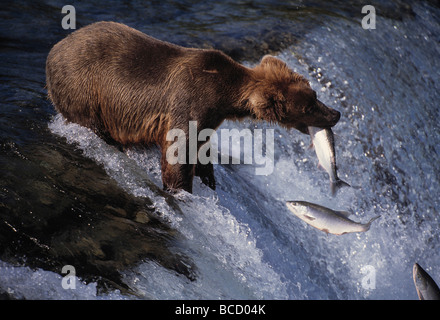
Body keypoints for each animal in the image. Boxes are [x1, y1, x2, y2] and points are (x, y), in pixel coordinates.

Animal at [45, 21, 340, 195]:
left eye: (314, 93)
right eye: (309, 106)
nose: (335, 114)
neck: (225, 96)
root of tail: (54, 48)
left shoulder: (210, 116)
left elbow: (201, 148)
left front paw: (208, 177)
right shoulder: (191, 100)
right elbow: (178, 151)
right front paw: (181, 189)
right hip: (84, 87)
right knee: (92, 124)